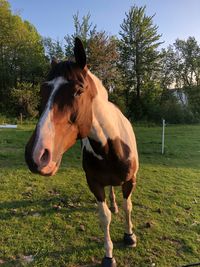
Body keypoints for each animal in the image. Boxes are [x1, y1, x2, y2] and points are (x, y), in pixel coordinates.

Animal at [24, 37, 138, 267]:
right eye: (43, 91)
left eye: (78, 91)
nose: (36, 155)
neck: (108, 148)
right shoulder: (94, 184)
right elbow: (104, 217)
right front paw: (108, 255)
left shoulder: (130, 181)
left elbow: (128, 206)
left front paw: (130, 236)